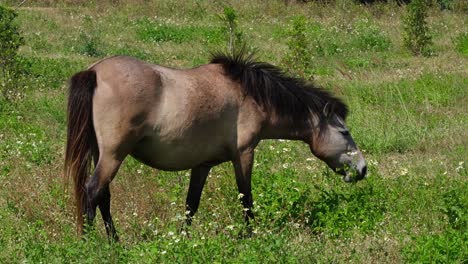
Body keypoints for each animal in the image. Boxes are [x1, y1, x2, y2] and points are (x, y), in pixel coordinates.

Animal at [64, 50, 368, 240]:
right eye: (344, 132)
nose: (363, 169)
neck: (250, 95)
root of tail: (95, 72)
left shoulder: (203, 165)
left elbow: (191, 203)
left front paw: (183, 239)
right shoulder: (244, 154)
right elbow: (246, 198)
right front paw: (250, 236)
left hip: (101, 153)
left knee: (102, 195)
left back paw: (114, 240)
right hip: (113, 155)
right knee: (93, 190)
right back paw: (92, 244)